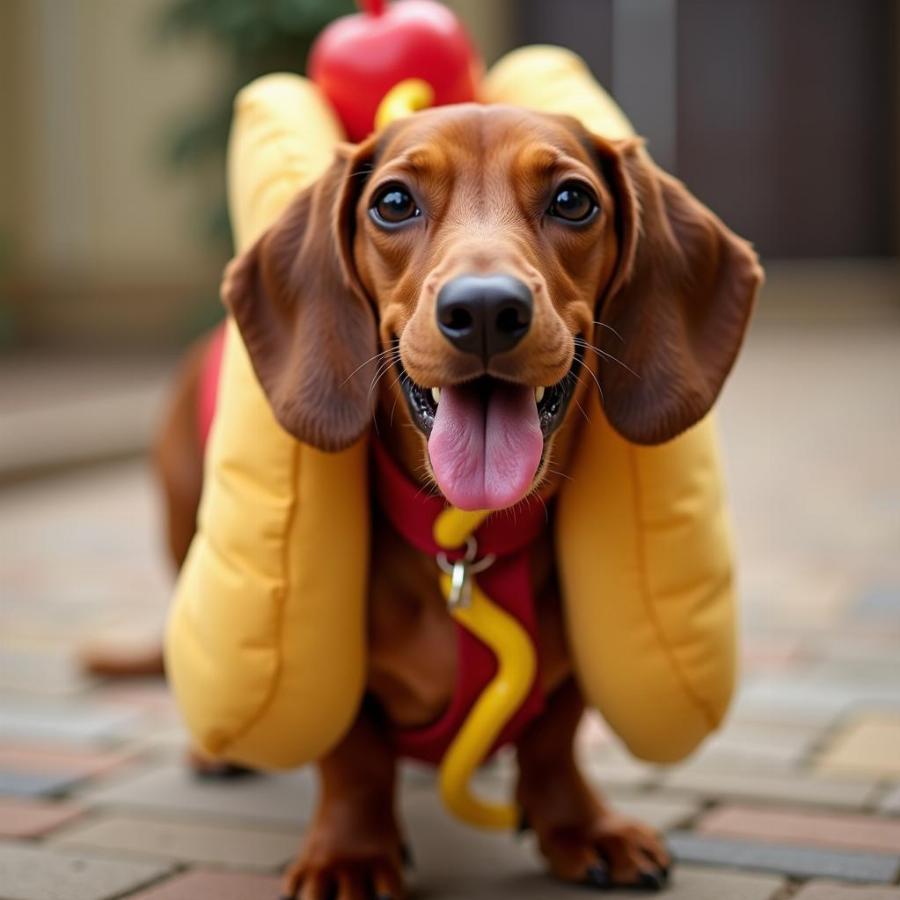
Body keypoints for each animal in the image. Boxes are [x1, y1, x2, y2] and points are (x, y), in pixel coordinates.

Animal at [151, 102, 764, 896]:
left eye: (574, 199)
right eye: (392, 202)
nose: (484, 310)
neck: (466, 540)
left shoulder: (568, 679)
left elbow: (554, 738)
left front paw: (581, 826)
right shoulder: (338, 685)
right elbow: (354, 757)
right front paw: (351, 854)